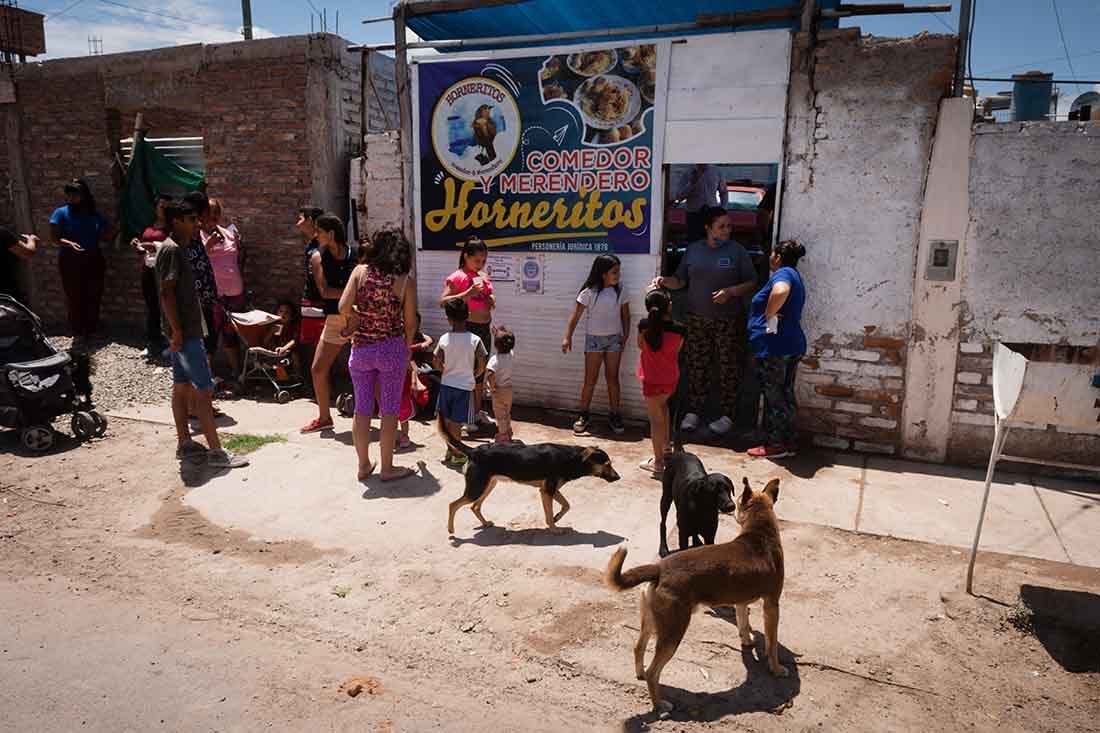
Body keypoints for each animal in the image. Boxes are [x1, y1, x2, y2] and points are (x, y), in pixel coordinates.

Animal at [440, 416, 629, 530]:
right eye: (607, 464)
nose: (618, 477)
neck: (572, 458)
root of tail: (473, 451)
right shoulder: (547, 491)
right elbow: (550, 514)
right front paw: (554, 528)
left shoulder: (550, 489)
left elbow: (566, 505)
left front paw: (557, 517)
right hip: (477, 488)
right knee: (452, 505)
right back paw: (451, 531)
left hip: (488, 485)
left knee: (474, 506)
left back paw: (485, 523)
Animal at [607, 473, 787, 708]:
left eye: (736, 499)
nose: (730, 507)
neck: (758, 533)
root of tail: (659, 568)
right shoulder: (772, 604)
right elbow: (772, 643)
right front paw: (776, 668)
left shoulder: (741, 600)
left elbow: (743, 623)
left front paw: (747, 640)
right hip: (673, 631)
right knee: (654, 671)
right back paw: (660, 705)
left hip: (651, 621)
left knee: (638, 648)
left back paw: (640, 674)